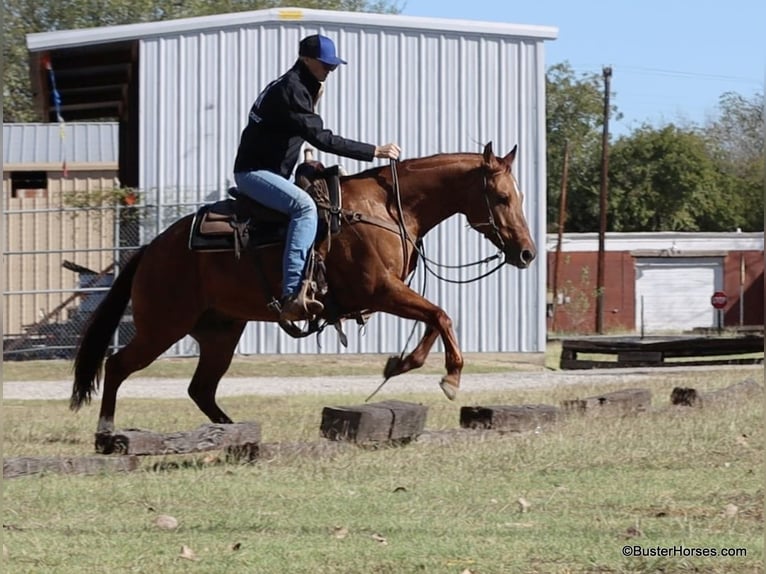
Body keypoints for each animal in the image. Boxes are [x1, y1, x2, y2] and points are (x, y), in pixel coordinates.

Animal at [71, 142, 536, 434]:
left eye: (519, 195)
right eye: (500, 197)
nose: (528, 253)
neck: (387, 209)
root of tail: (150, 249)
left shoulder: (390, 294)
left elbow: (434, 319)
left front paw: (401, 363)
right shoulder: (379, 291)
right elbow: (441, 314)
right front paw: (451, 377)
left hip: (220, 331)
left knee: (200, 388)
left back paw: (232, 430)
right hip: (162, 327)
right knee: (117, 366)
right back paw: (107, 431)